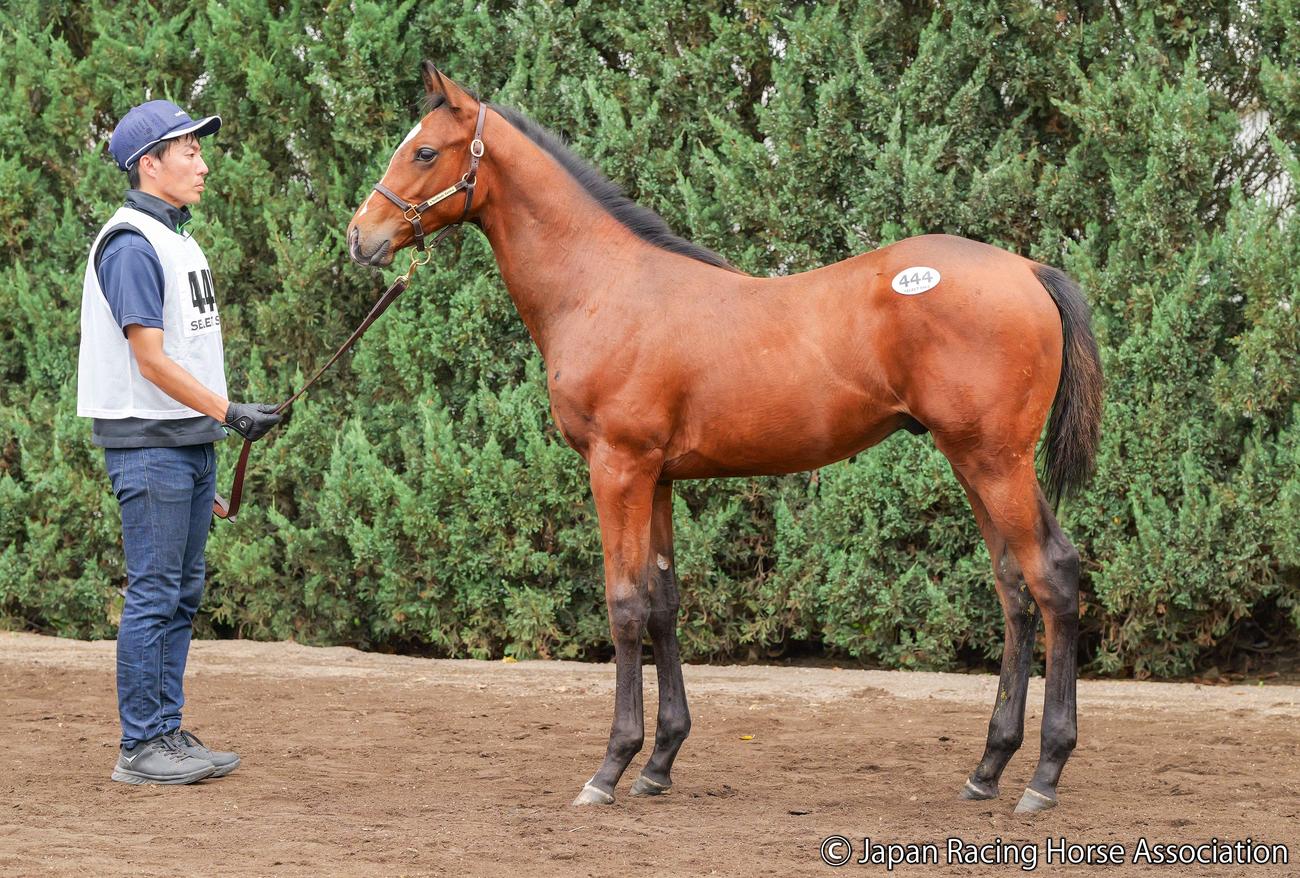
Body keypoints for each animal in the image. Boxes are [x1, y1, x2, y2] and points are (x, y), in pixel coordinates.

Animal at [346, 63, 1103, 815]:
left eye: (424, 150)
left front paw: (610, 768)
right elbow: (663, 603)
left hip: (995, 461)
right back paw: (988, 767)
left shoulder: (616, 467)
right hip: (972, 462)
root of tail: (1029, 270)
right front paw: (659, 762)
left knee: (1052, 575)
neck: (601, 286)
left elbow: (624, 605)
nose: (360, 237)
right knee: (1013, 588)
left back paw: (1043, 777)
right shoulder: (657, 478)